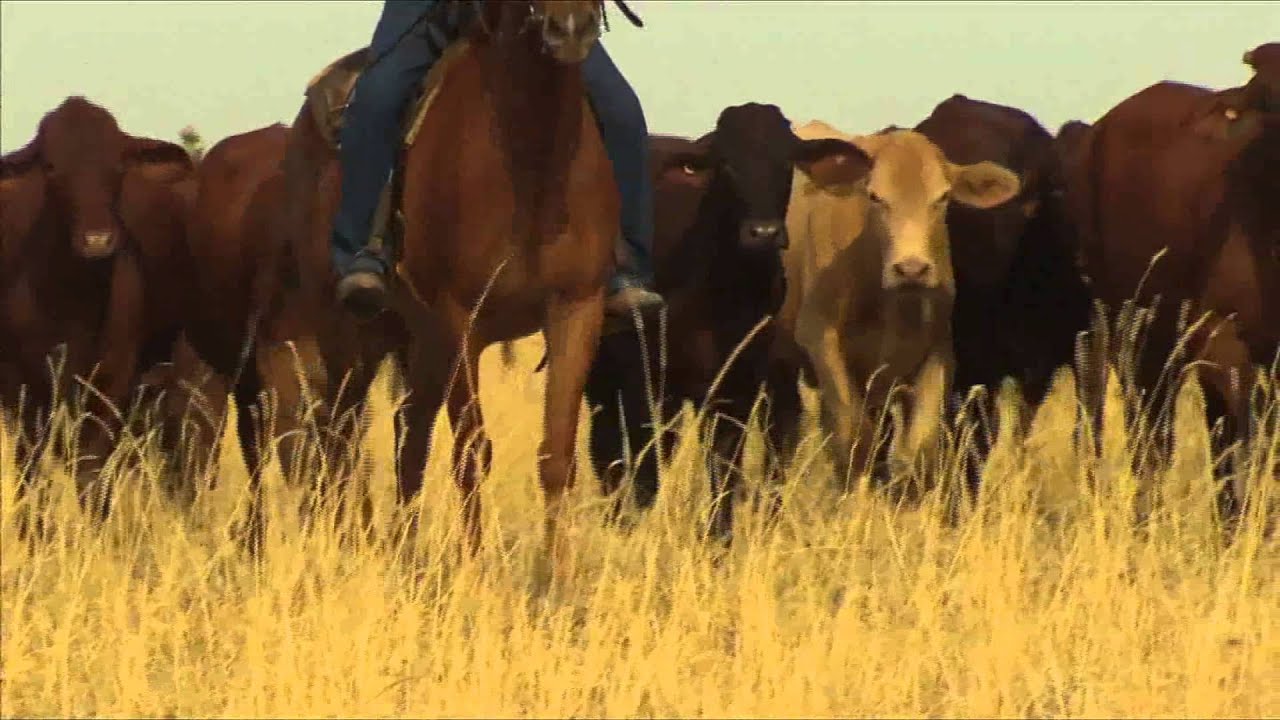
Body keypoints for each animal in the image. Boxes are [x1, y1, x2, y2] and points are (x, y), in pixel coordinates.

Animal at [0, 96, 195, 515]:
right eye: (51, 167)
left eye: (117, 165)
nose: (97, 241)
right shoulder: (21, 390)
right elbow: (31, 476)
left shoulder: (110, 384)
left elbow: (92, 473)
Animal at [584, 103, 871, 542]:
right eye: (727, 163)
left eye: (786, 160)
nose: (763, 232)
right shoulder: (650, 387)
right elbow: (645, 471)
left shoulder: (735, 391)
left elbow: (724, 475)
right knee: (609, 454)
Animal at [777, 121, 1021, 494]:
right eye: (875, 197)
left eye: (942, 197)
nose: (911, 269)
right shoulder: (821, 342)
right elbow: (854, 439)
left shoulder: (936, 353)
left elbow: (919, 448)